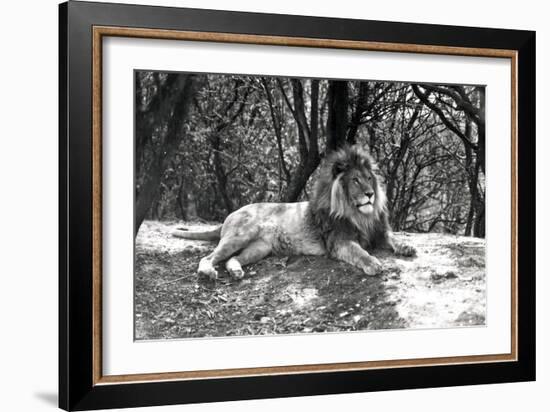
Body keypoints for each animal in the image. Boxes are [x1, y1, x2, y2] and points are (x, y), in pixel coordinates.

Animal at [175, 145, 416, 280]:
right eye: (355, 180)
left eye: (368, 178)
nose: (370, 194)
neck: (360, 215)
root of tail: (233, 212)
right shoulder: (339, 242)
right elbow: (360, 252)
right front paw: (373, 263)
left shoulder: (379, 231)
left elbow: (393, 237)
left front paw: (407, 247)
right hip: (241, 235)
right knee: (209, 257)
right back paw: (207, 272)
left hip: (260, 248)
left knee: (230, 260)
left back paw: (235, 272)